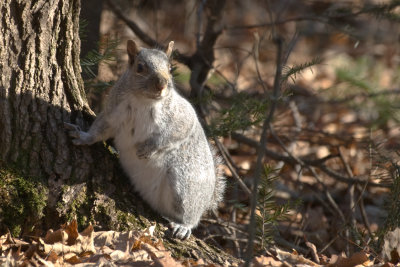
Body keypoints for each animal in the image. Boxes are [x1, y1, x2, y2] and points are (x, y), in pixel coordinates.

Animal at [65, 39, 225, 241]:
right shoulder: (112, 114)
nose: (161, 85)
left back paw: (183, 226)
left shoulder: (182, 117)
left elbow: (174, 133)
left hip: (185, 185)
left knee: (190, 215)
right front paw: (83, 137)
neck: (143, 101)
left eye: (170, 68)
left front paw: (148, 149)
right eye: (140, 68)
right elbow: (99, 130)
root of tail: (207, 199)